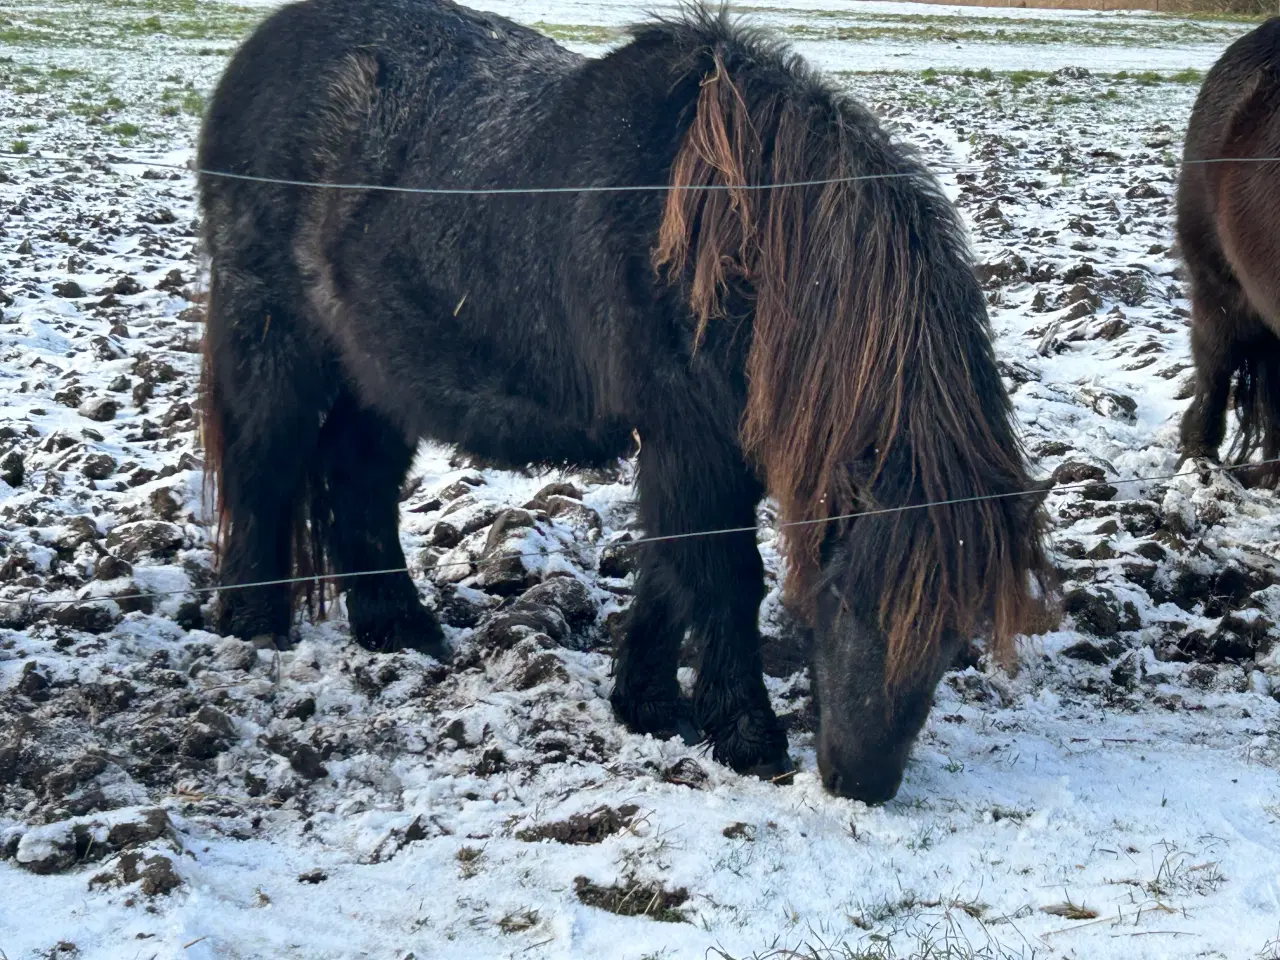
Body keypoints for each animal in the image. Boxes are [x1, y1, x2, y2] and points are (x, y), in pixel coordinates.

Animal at [199, 0, 1054, 803]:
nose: (860, 783)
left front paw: (645, 705)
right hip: (274, 334)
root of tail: (257, 54)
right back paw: (255, 629)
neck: (738, 234)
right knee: (266, 467)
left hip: (380, 370)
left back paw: (397, 629)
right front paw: (746, 735)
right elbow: (720, 574)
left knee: (356, 480)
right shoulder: (686, 435)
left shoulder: (712, 444)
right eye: (840, 594)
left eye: (960, 629)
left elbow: (671, 570)